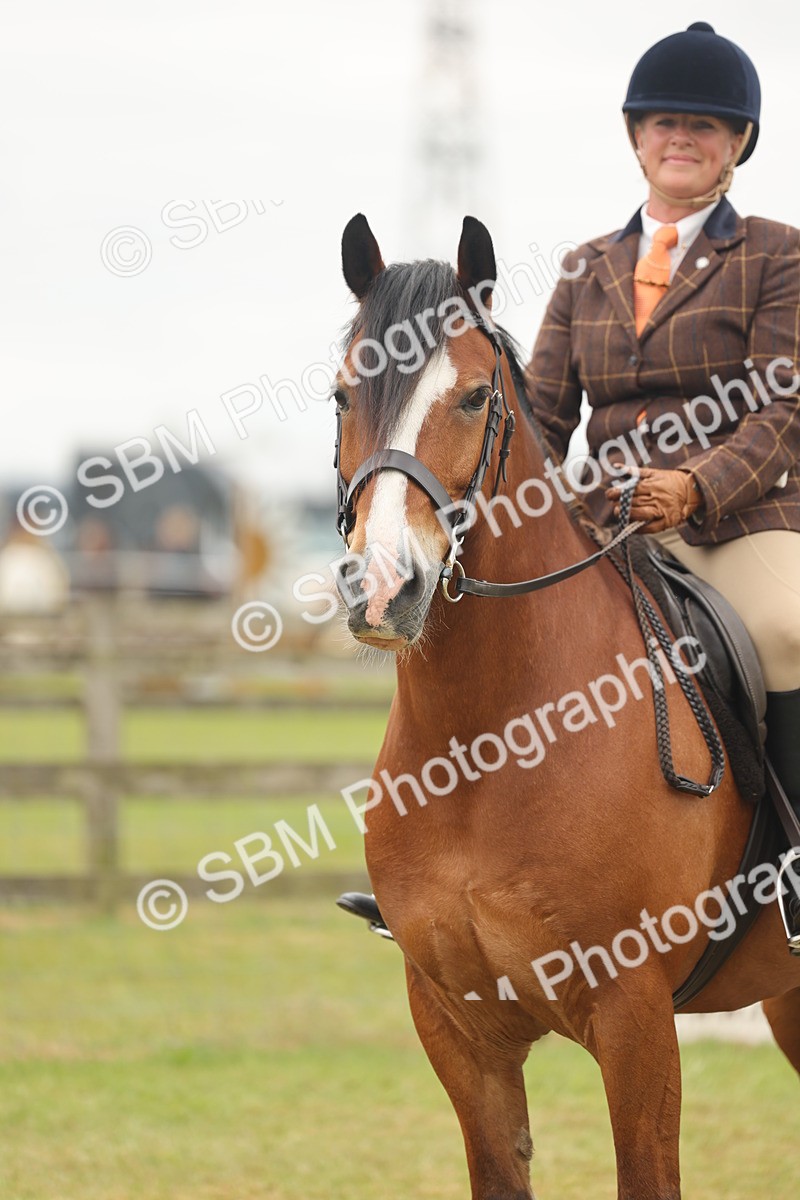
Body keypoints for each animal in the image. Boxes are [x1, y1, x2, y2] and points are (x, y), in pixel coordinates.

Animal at [331, 212, 800, 1199]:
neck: (487, 740)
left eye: (475, 398)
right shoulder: (458, 1028)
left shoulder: (634, 1018)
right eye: (342, 395)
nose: (383, 590)